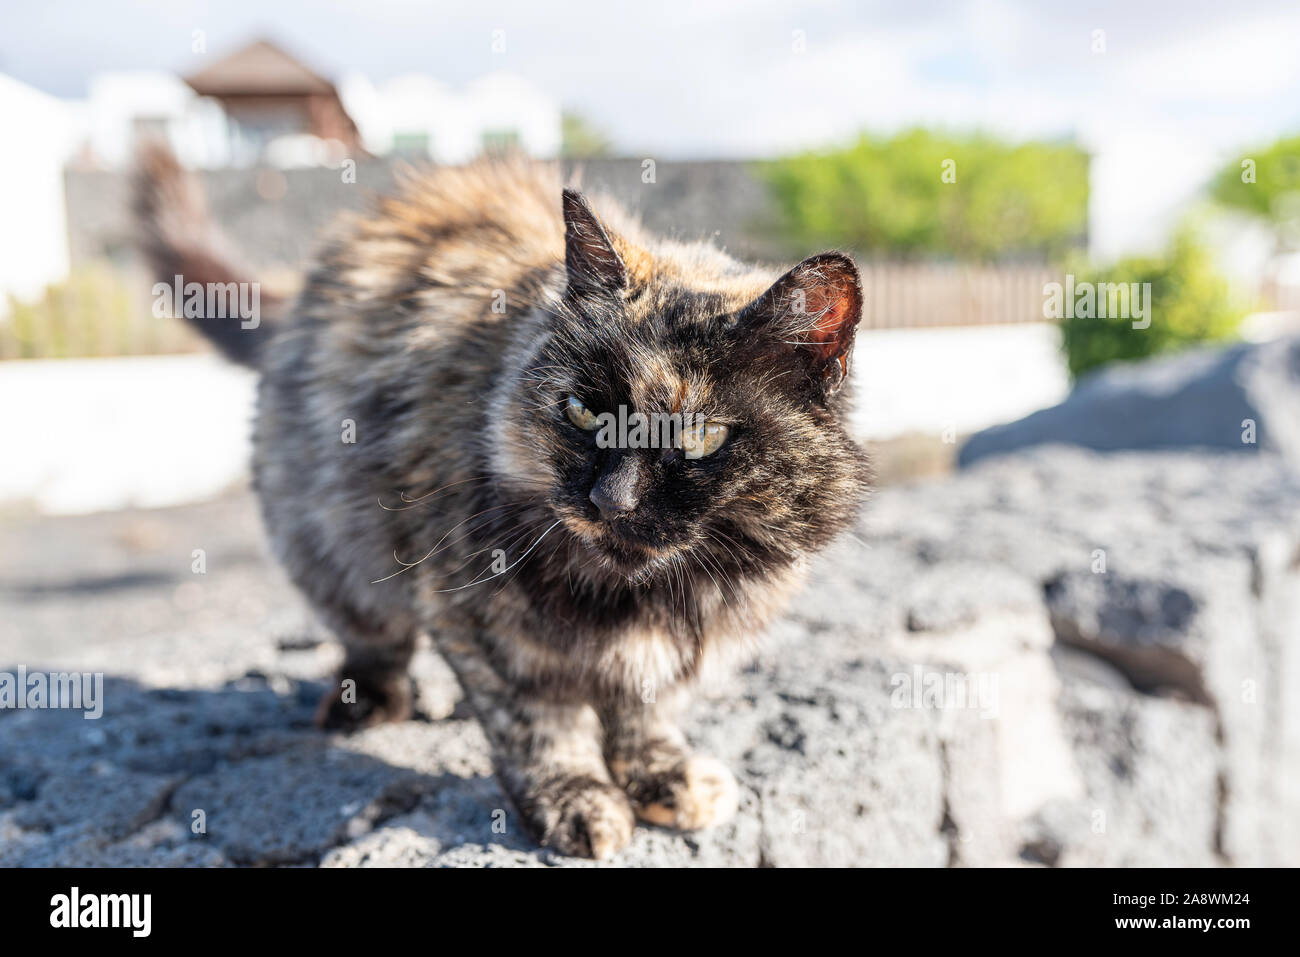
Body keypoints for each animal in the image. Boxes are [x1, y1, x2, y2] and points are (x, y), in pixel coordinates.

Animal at [137, 147, 868, 858]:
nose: (611, 498)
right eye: (582, 411)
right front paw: (576, 800)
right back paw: (367, 701)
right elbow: (541, 723)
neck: (641, 594)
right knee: (369, 633)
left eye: (699, 437)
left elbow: (647, 707)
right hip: (329, 539)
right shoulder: (482, 616)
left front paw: (662, 775)